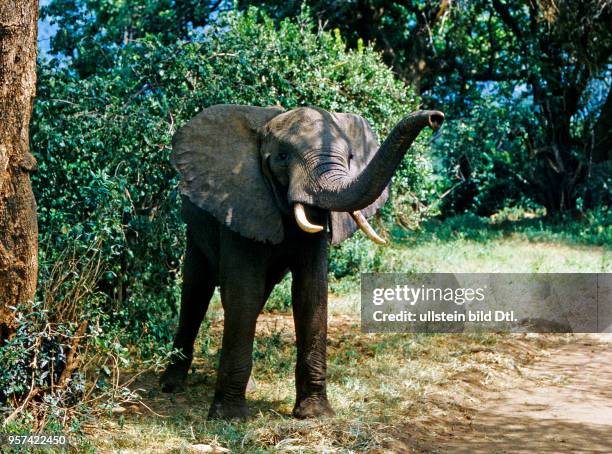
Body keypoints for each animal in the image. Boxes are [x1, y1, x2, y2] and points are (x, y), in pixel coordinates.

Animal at [160, 103, 442, 418]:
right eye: (282, 157)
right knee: (197, 289)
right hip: (195, 222)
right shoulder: (240, 204)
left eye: (350, 158)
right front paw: (230, 417)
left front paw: (314, 413)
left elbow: (310, 293)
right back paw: (170, 385)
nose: (435, 118)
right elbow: (244, 294)